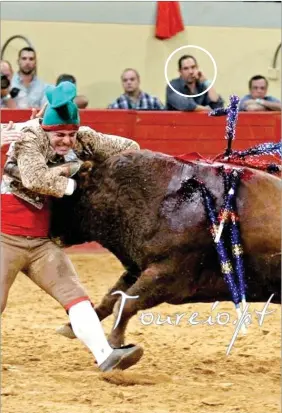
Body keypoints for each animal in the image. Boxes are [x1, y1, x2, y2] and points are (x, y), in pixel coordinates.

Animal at [51, 149, 282, 348]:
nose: (50, 231)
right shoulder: (137, 269)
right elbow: (111, 298)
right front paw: (70, 327)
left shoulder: (167, 275)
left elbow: (125, 304)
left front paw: (115, 343)